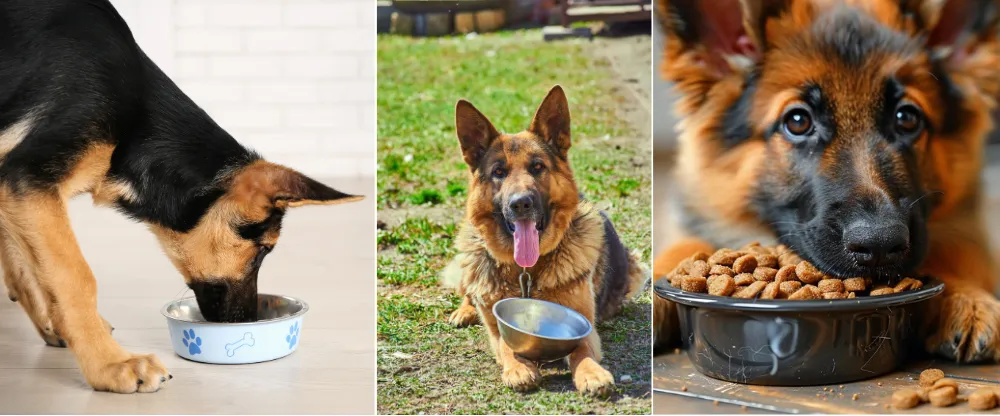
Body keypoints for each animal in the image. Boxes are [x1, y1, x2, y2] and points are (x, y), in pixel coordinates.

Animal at [0, 0, 360, 392]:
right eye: (263, 250)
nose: (246, 322)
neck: (137, 128)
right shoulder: (27, 179)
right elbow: (74, 276)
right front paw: (111, 363)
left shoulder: (13, 188)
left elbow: (27, 269)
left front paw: (58, 326)